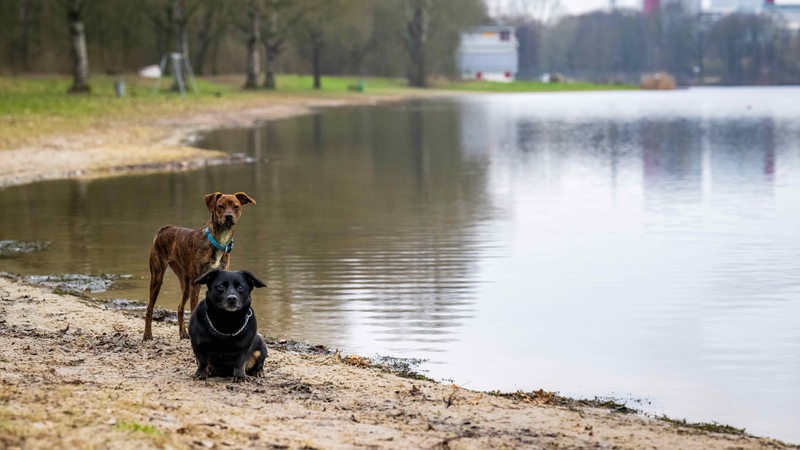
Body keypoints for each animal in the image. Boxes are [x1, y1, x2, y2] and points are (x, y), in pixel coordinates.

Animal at [142, 191, 256, 342]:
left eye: (236, 206)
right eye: (220, 206)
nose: (229, 216)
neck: (218, 241)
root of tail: (164, 229)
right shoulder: (196, 285)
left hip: (185, 283)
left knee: (180, 307)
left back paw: (183, 333)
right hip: (158, 276)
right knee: (149, 307)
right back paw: (147, 334)